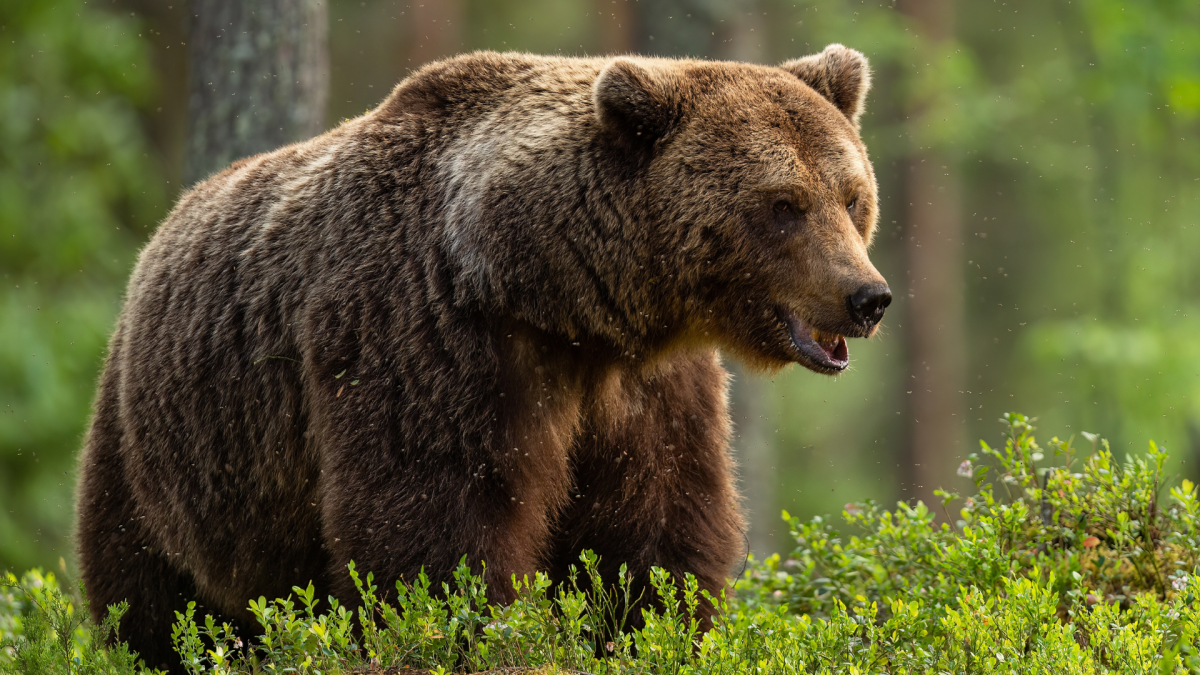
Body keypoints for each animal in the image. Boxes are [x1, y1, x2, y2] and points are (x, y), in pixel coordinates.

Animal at [75, 44, 892, 667]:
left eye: (851, 196)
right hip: (165, 454)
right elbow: (436, 535)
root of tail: (157, 239)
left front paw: (649, 631)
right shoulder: (430, 340)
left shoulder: (645, 389)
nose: (867, 296)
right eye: (783, 205)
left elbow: (655, 534)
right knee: (151, 599)